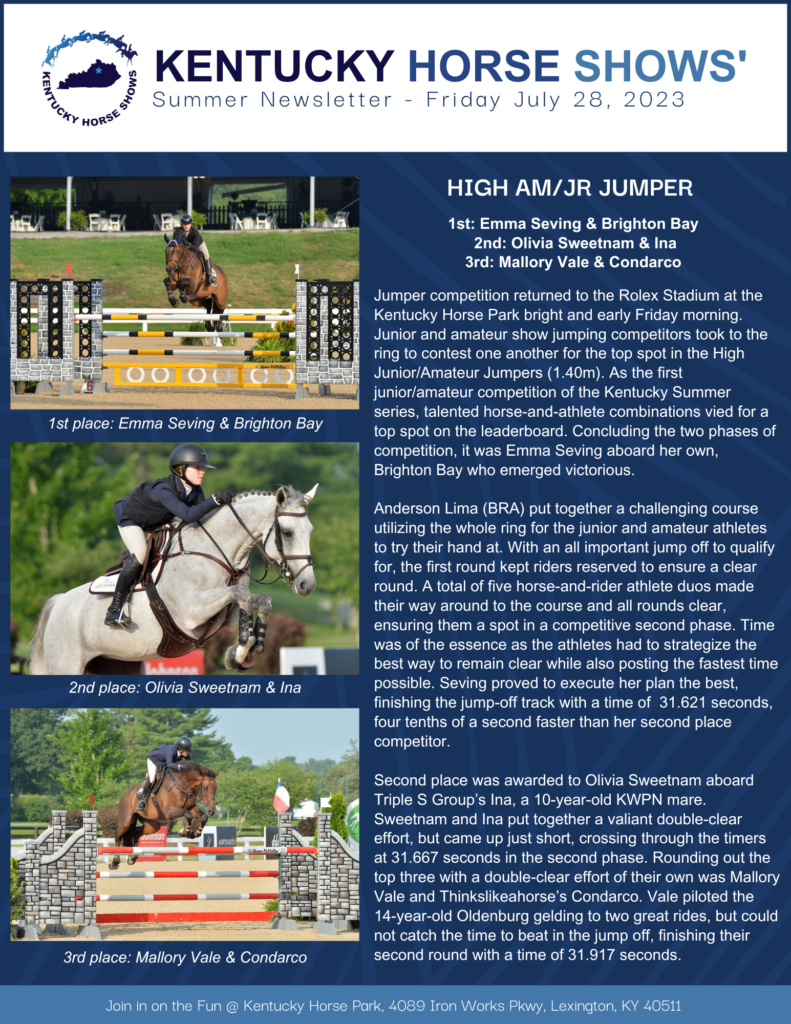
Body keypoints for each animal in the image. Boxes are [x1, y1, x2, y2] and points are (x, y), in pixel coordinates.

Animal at [29, 485, 318, 675]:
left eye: (311, 530)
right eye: (287, 532)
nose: (308, 585)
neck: (218, 553)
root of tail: (58, 603)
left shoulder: (225, 615)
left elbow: (261, 600)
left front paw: (241, 655)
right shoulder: (192, 611)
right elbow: (244, 595)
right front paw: (244, 647)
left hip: (117, 665)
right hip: (67, 665)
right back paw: (114, 614)